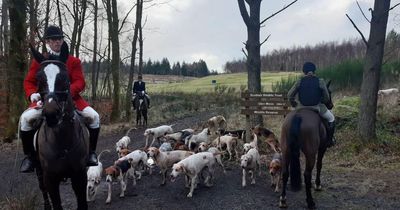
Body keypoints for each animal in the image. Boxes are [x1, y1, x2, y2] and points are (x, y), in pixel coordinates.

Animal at [280, 81, 332, 209]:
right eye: (330, 92)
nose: (331, 105)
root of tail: (298, 116)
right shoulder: (322, 148)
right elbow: (319, 165)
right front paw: (318, 185)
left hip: (286, 150)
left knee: (285, 173)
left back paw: (283, 200)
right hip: (310, 153)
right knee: (307, 174)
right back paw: (310, 202)